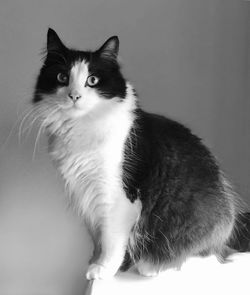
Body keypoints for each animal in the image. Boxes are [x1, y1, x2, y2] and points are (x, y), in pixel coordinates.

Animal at [32, 28, 239, 280]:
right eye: (62, 77)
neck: (82, 127)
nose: (74, 96)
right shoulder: (85, 195)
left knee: (203, 258)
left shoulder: (116, 198)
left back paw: (151, 266)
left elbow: (111, 240)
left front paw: (102, 269)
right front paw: (94, 261)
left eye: (92, 80)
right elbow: (98, 238)